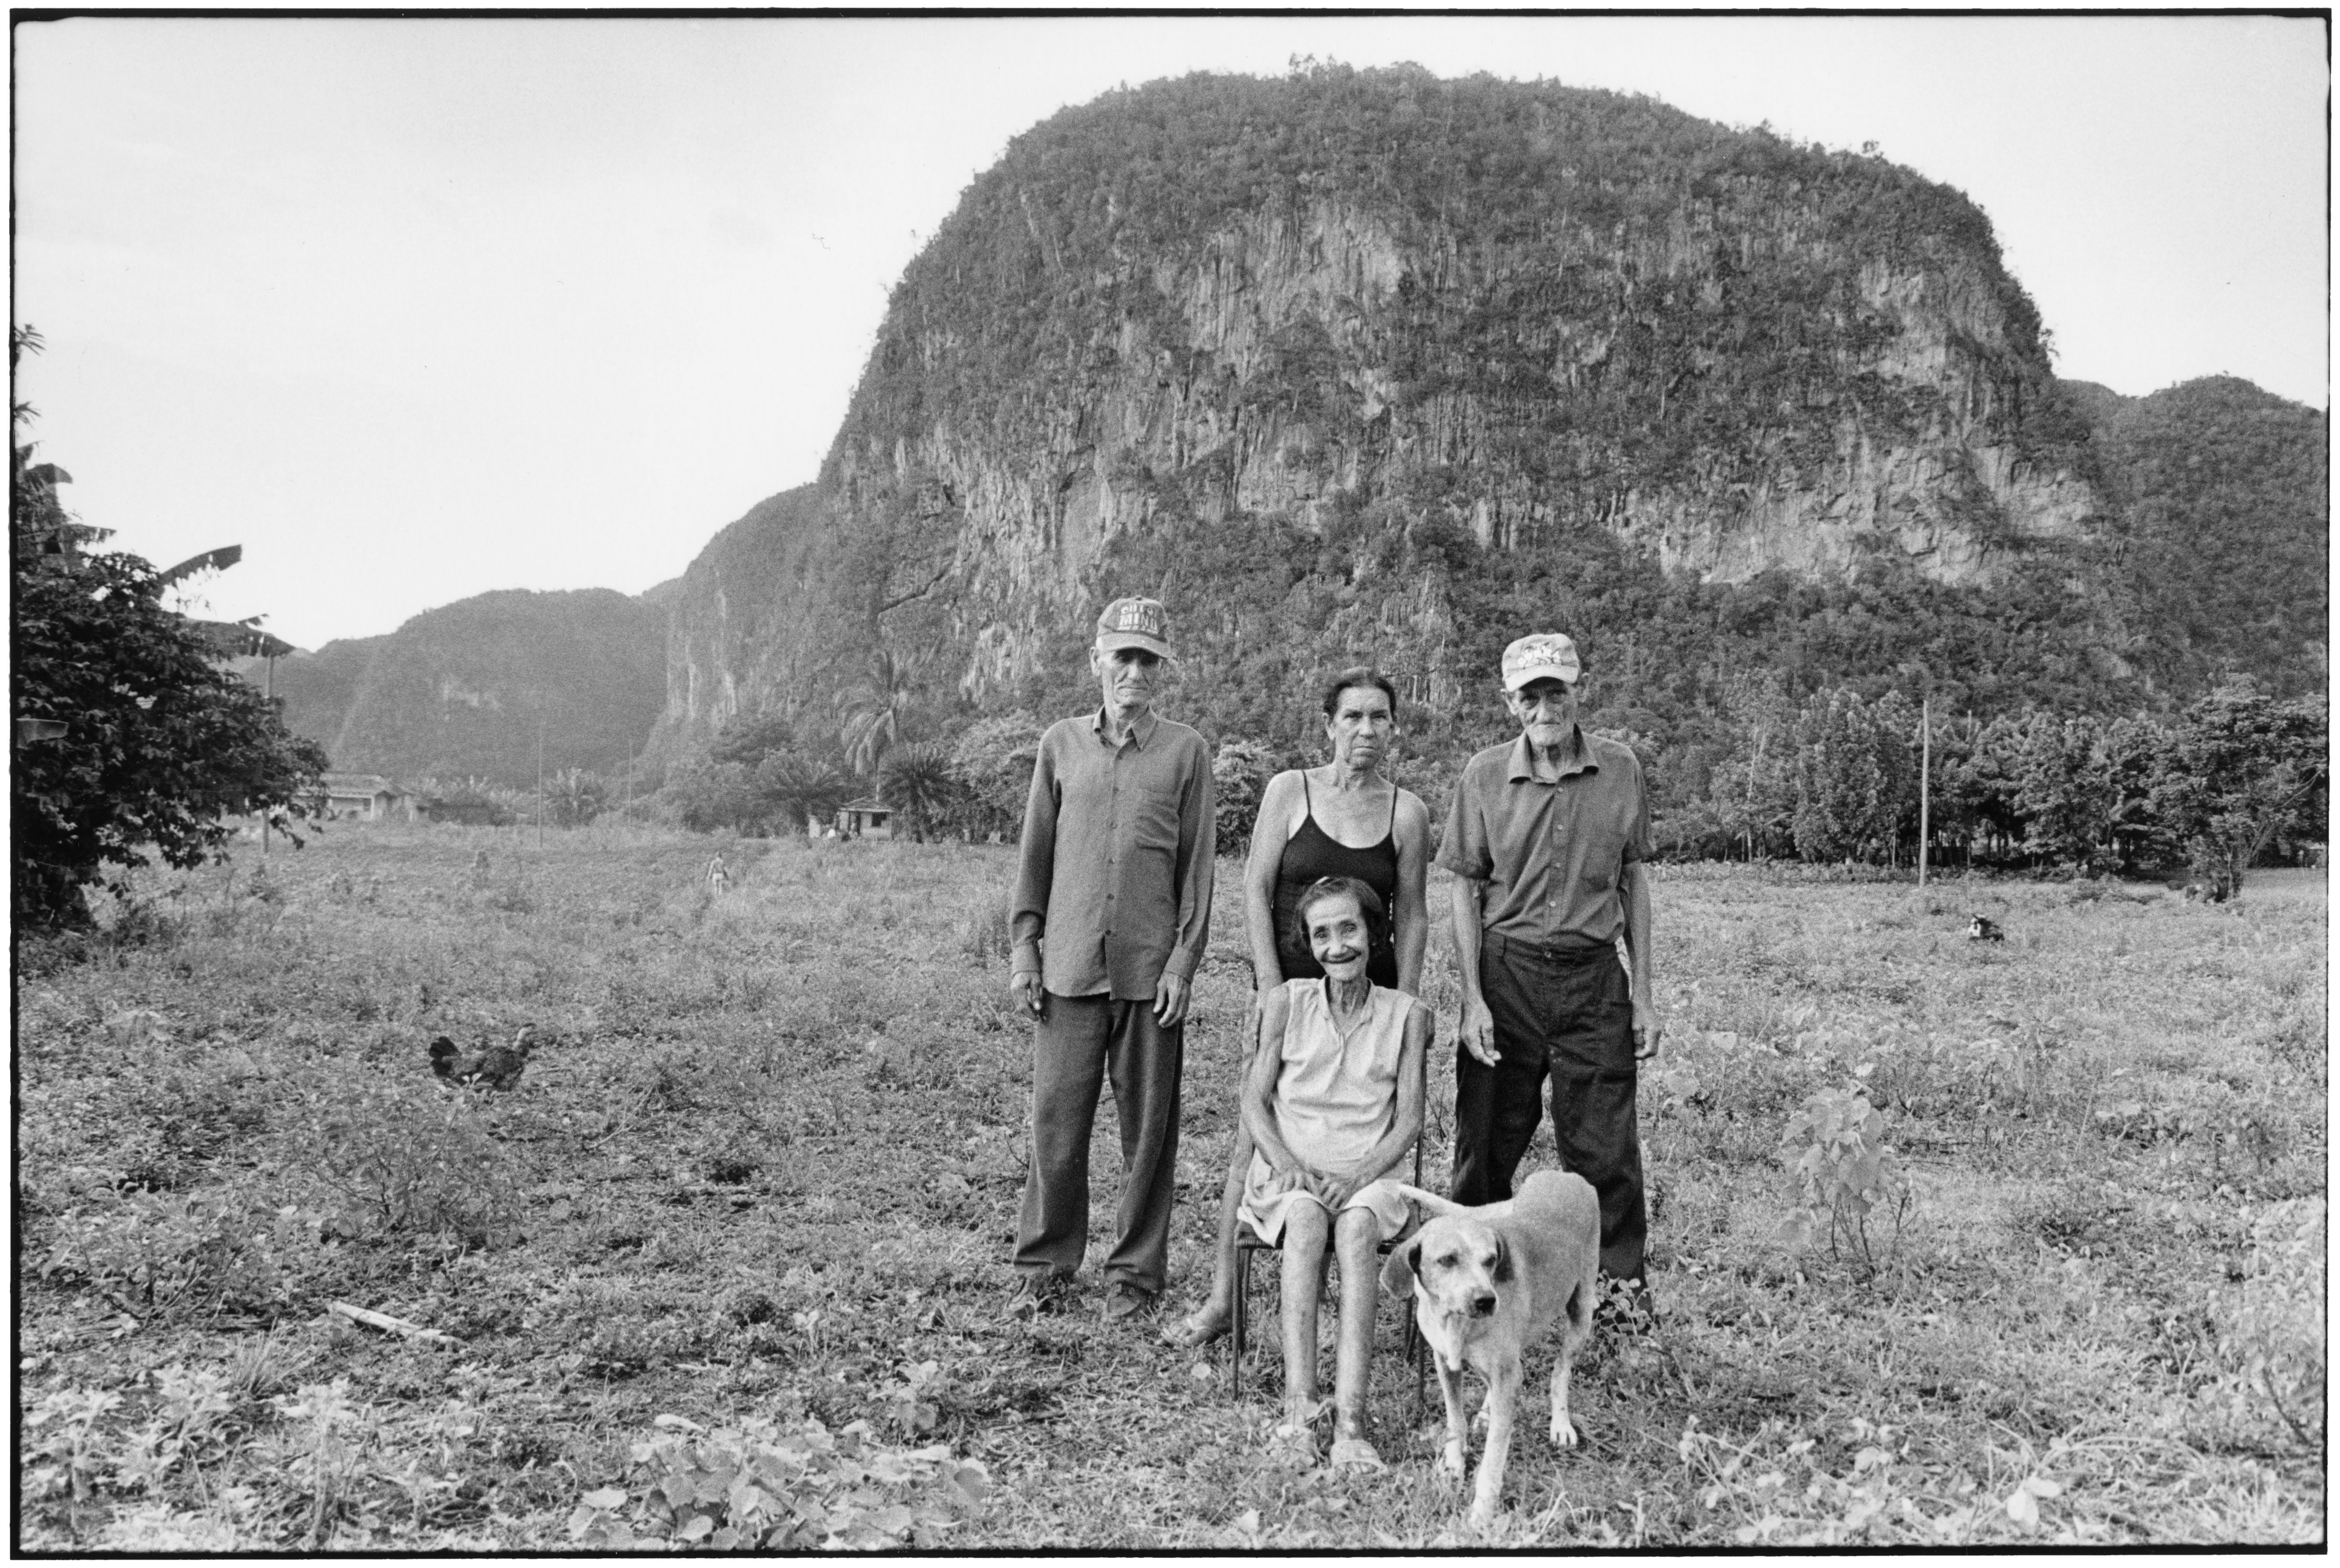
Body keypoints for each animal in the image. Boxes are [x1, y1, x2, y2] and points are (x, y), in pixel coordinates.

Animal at [1382, 1171, 1601, 1530]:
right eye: (1447, 1260)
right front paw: (1453, 1467)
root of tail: (1567, 1175)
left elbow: (1493, 1457)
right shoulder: (1446, 1364)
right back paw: (1486, 1414)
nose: (1486, 1301)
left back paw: (1560, 1424)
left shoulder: (1505, 1375)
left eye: (1490, 1261)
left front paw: (1482, 1512)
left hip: (1581, 1311)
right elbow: (1455, 1422)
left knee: (1560, 1371)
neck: (1456, 1322)